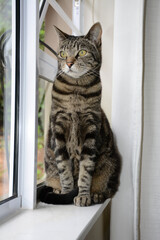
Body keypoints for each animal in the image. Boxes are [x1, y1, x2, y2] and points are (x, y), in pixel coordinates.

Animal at [39, 22, 121, 206]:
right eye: (63, 54)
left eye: (82, 52)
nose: (69, 63)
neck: (76, 89)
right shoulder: (58, 128)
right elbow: (64, 168)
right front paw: (67, 193)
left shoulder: (91, 130)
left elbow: (85, 171)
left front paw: (83, 195)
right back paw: (57, 190)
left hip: (111, 164)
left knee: (109, 188)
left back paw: (97, 194)